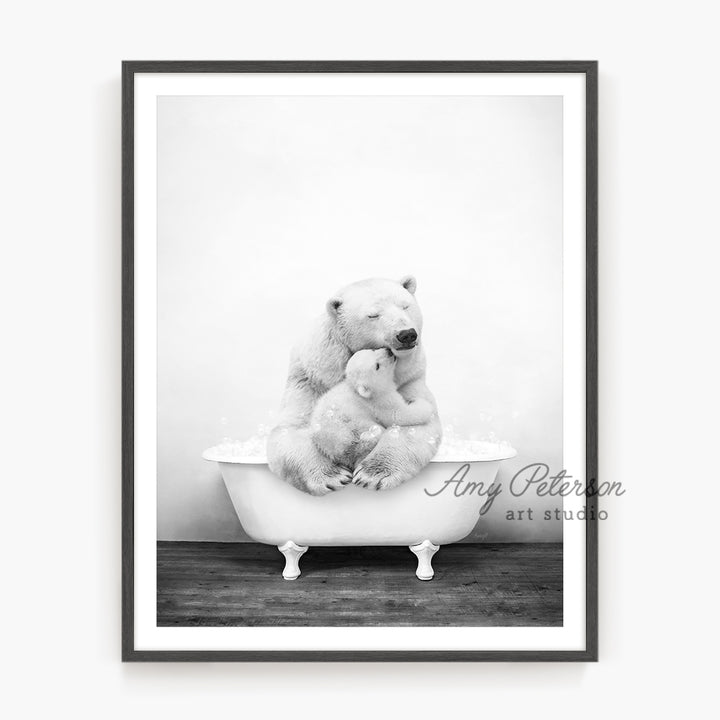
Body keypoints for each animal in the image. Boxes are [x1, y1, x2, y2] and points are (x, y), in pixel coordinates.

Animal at [268, 276, 442, 496]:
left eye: (405, 306)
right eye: (373, 315)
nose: (406, 334)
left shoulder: (409, 377)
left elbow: (415, 424)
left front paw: (372, 474)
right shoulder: (312, 378)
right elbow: (291, 428)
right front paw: (332, 476)